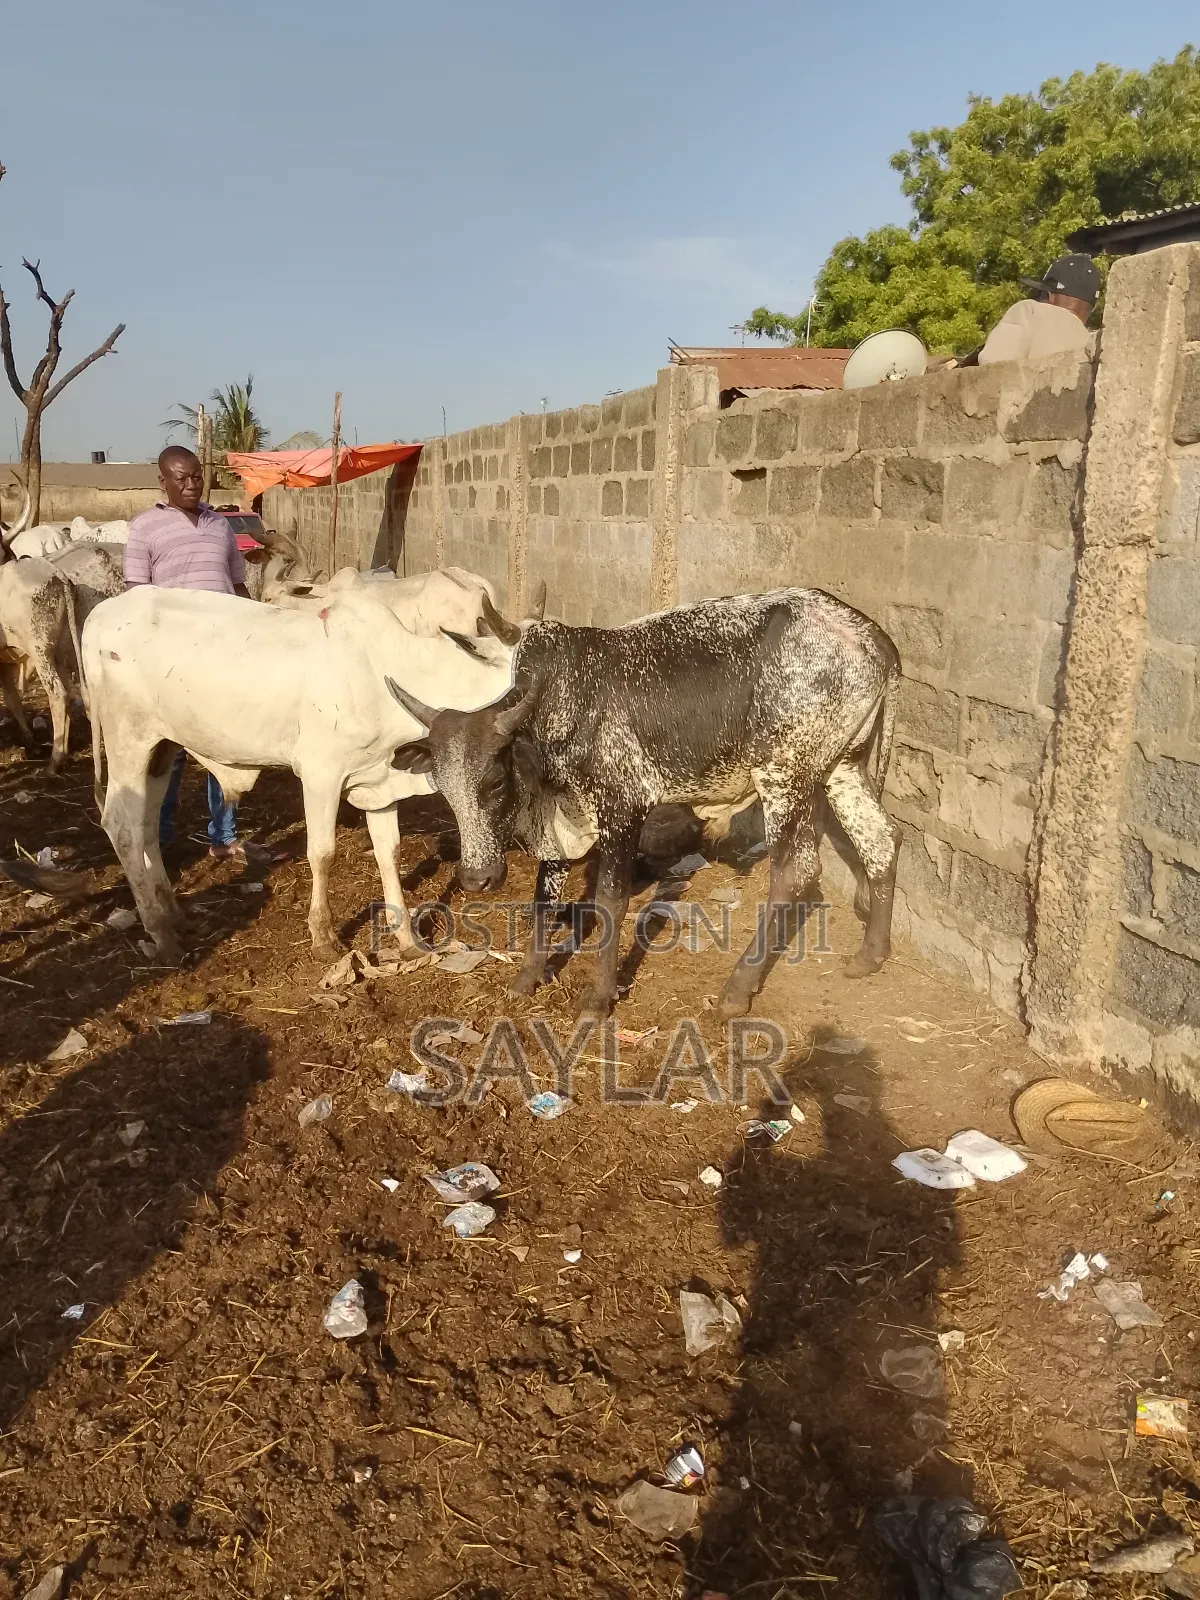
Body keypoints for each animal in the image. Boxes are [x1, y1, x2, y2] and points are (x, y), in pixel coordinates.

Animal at [80, 582, 518, 962]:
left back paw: (173, 913)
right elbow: (322, 853)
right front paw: (323, 936)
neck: (386, 673)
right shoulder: (321, 773)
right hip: (128, 741)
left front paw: (408, 939)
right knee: (121, 826)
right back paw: (161, 933)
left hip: (162, 749)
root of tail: (100, 615)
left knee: (146, 827)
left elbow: (389, 852)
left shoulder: (379, 779)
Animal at [386, 587, 902, 1021]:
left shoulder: (621, 808)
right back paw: (870, 955)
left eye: (495, 782)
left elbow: (610, 900)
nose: (475, 879)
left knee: (796, 871)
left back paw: (737, 989)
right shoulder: (559, 821)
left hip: (782, 776)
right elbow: (544, 899)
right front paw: (526, 978)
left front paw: (598, 998)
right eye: (444, 788)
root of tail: (870, 633)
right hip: (843, 765)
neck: (557, 697)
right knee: (880, 840)